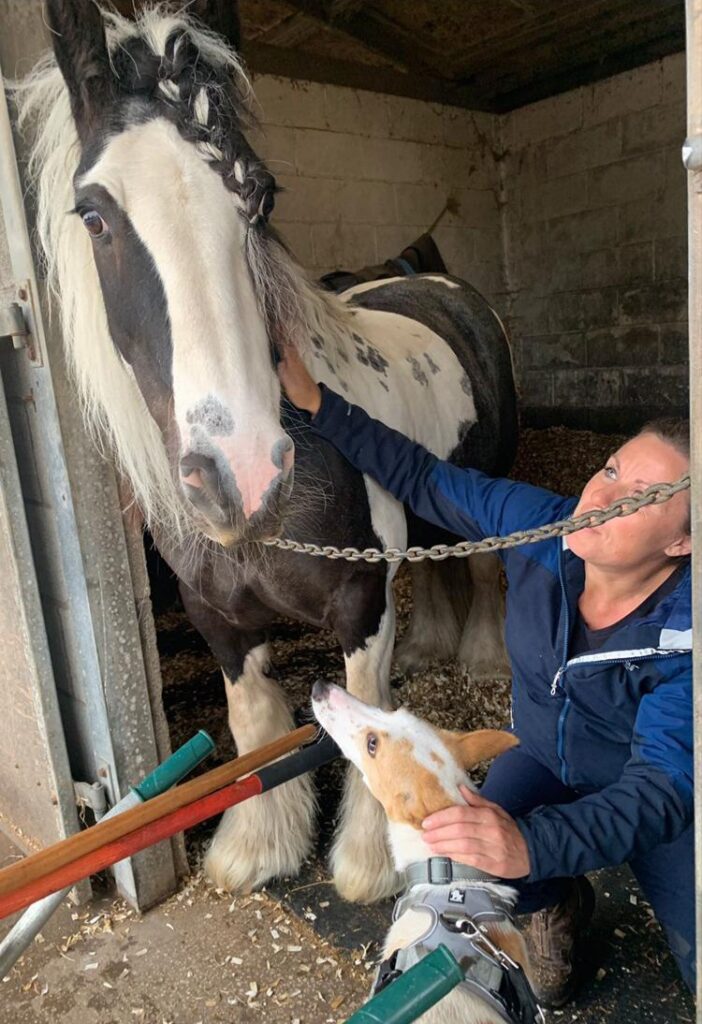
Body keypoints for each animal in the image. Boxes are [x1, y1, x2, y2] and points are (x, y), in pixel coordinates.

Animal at [19, 0, 519, 901]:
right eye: (94, 216)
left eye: (258, 196)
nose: (242, 475)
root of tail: (434, 282)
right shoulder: (218, 621)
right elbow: (253, 726)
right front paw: (255, 851)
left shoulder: (359, 606)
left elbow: (364, 718)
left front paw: (364, 866)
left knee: (486, 570)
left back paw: (483, 658)